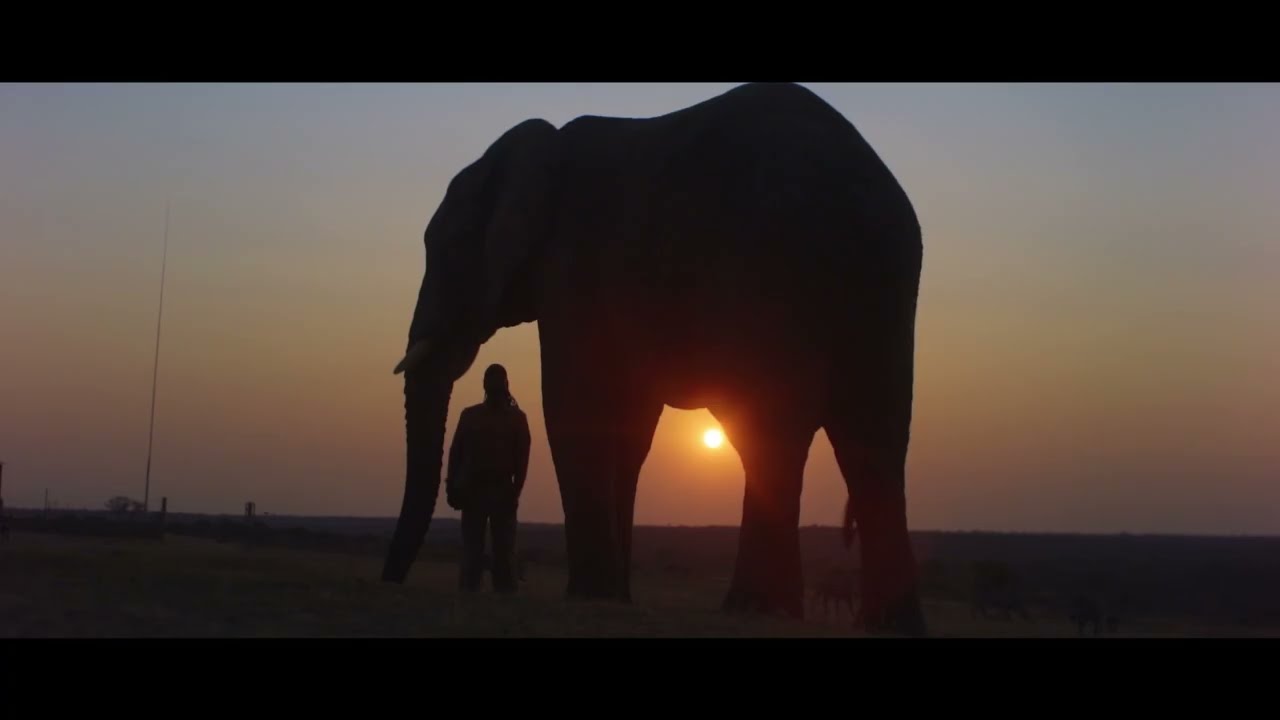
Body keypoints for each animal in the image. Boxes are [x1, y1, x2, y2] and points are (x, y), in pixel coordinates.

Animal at [381, 82, 927, 636]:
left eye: (447, 248)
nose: (391, 580)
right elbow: (630, 427)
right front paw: (615, 599)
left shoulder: (574, 264)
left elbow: (575, 406)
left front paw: (589, 596)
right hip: (882, 282)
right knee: (875, 439)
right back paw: (884, 622)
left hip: (777, 269)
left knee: (773, 431)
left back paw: (756, 608)